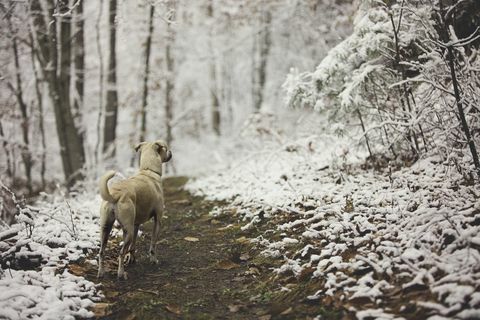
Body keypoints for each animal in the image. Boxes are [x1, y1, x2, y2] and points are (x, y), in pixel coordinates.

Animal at [97, 139, 172, 278]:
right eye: (165, 148)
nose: (170, 152)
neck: (148, 170)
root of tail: (115, 195)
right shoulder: (157, 220)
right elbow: (153, 244)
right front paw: (153, 260)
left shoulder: (136, 224)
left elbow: (133, 246)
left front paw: (132, 259)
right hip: (128, 230)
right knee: (121, 253)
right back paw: (121, 274)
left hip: (106, 228)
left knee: (101, 252)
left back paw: (101, 273)